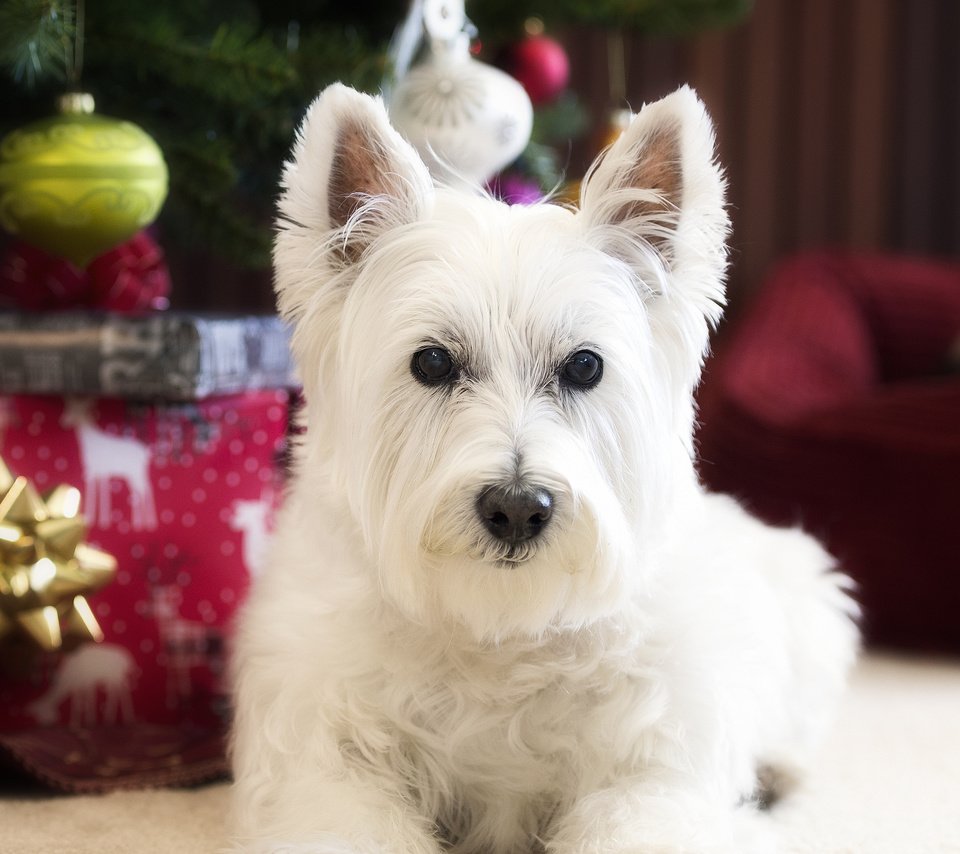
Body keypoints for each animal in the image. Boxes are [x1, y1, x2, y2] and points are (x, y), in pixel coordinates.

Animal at [229, 82, 860, 854]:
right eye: (431, 362)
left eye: (584, 365)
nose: (517, 508)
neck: (501, 630)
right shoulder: (325, 765)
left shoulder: (650, 776)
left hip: (813, 607)